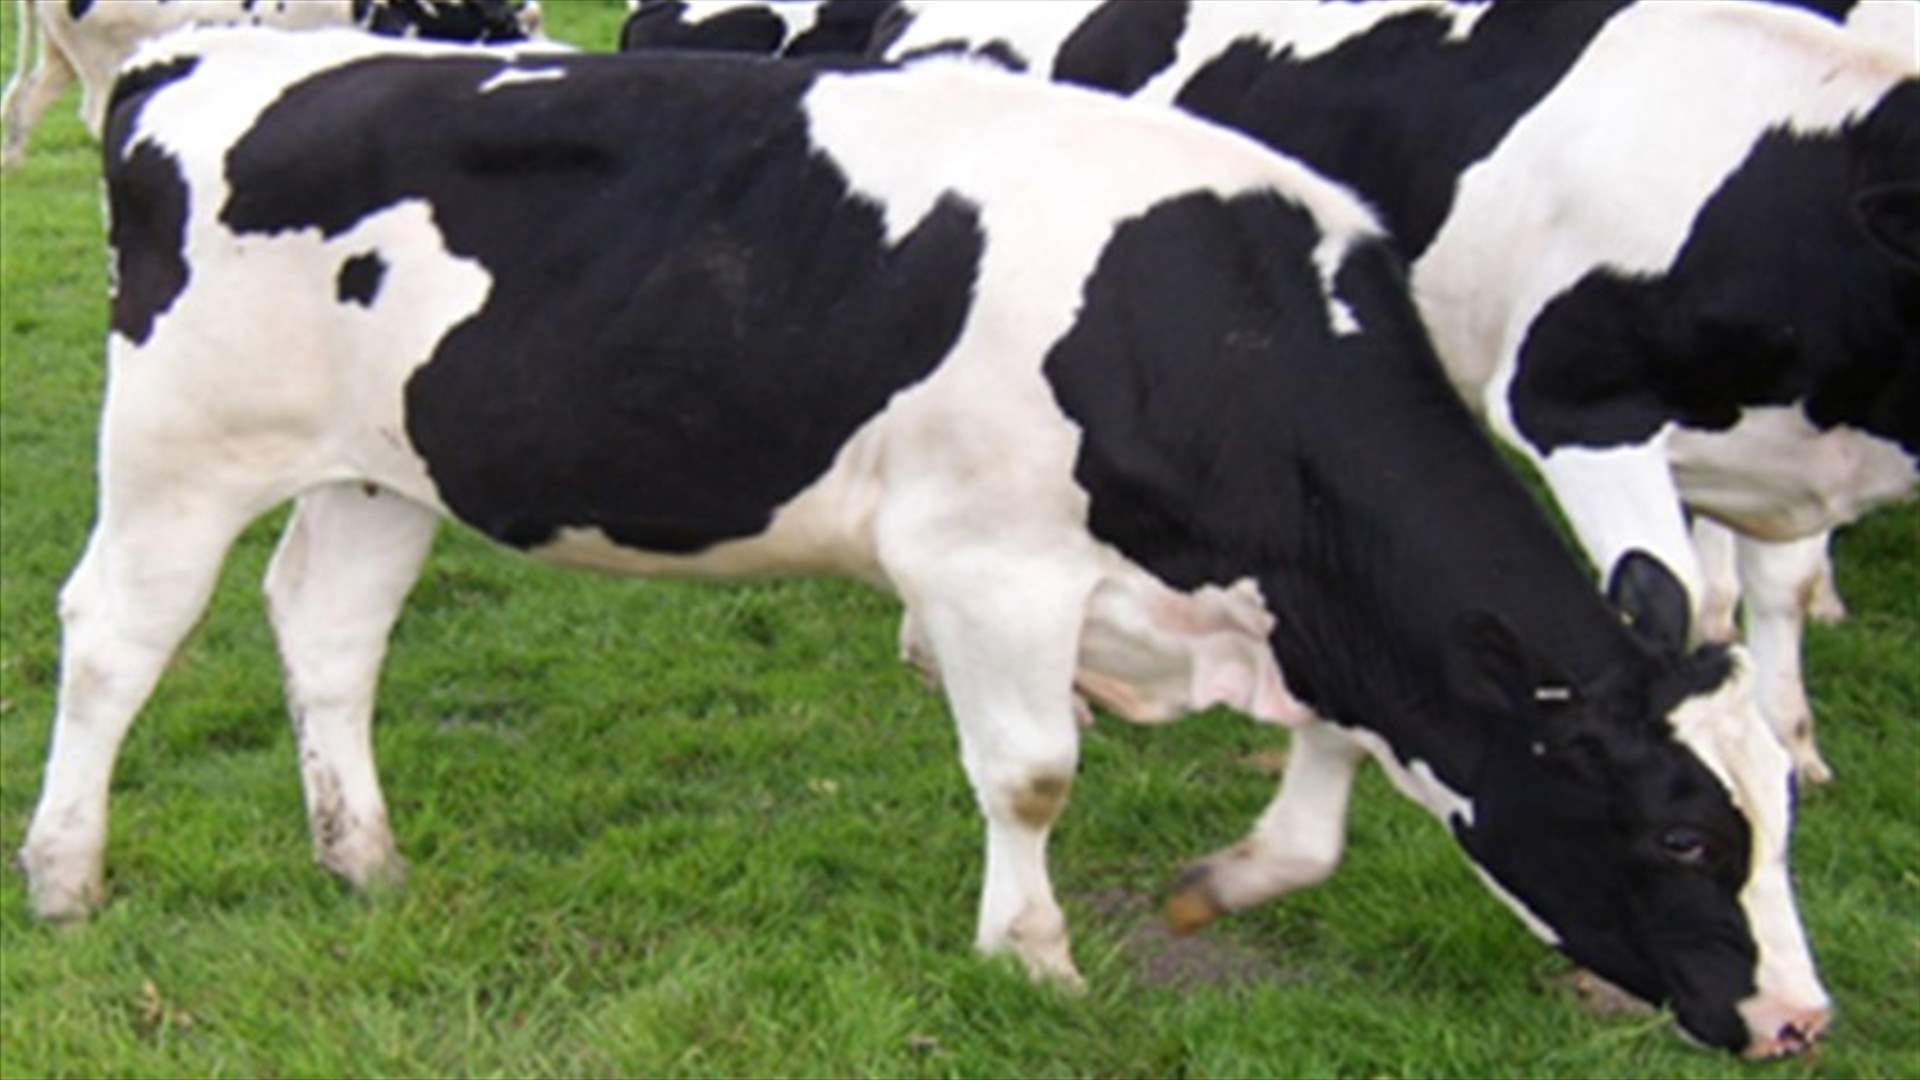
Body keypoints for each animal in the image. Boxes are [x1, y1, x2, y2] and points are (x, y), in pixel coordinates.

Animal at [16, 25, 1828, 1057]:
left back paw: (365, 861)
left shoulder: (1291, 610)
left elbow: (1326, 780)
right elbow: (1030, 777)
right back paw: (64, 876)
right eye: (1683, 835)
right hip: (180, 443)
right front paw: (1033, 963)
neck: (1216, 331)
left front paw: (1223, 882)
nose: (1799, 1023)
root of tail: (203, 56)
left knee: (325, 628)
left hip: (384, 468)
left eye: (1775, 826)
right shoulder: (987, 566)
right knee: (116, 632)